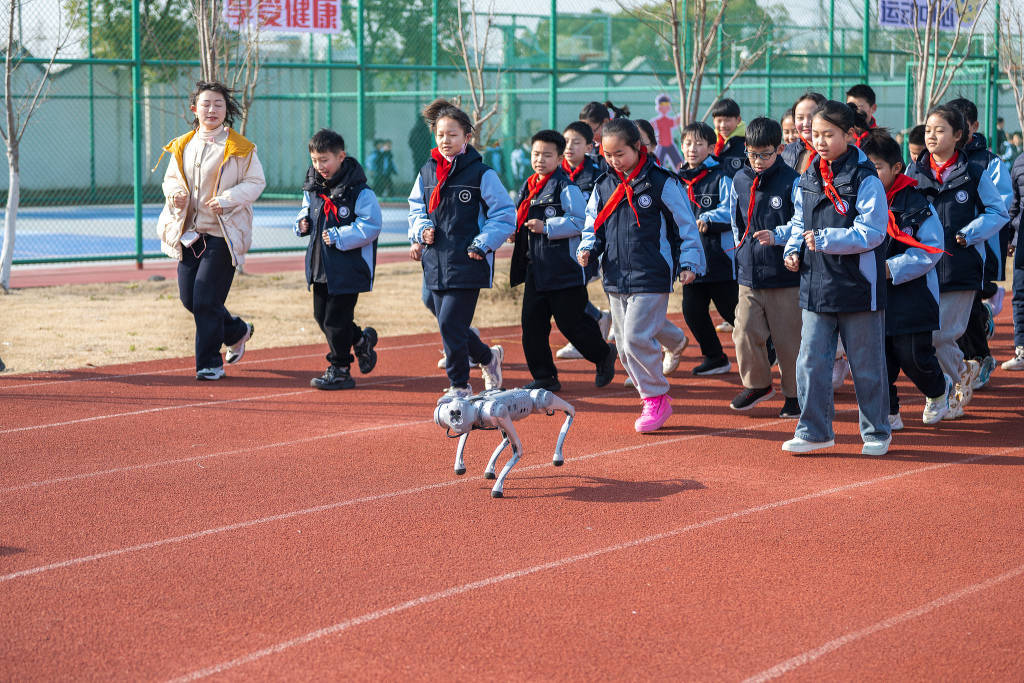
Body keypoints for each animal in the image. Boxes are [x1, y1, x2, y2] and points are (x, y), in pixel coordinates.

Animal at [434, 389, 577, 497]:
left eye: (457, 413)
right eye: (451, 412)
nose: (455, 415)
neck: (476, 408)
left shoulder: (499, 412)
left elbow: (518, 450)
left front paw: (498, 488)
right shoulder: (482, 422)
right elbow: (463, 439)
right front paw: (459, 466)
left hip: (540, 402)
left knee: (565, 407)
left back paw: (558, 455)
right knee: (506, 440)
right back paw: (490, 469)